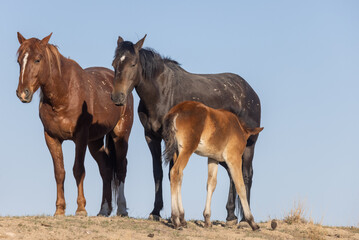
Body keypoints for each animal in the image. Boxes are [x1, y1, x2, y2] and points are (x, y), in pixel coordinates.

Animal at [15, 32, 134, 218]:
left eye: (37, 59)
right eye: (19, 60)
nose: (22, 93)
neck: (63, 94)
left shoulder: (80, 137)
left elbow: (78, 169)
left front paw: (81, 209)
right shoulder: (51, 137)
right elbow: (59, 172)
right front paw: (59, 209)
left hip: (120, 135)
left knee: (121, 167)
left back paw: (121, 209)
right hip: (95, 141)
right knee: (106, 168)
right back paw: (104, 209)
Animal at [165, 101, 262, 231]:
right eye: (245, 142)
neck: (238, 128)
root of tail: (177, 110)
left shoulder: (212, 158)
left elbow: (211, 184)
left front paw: (207, 219)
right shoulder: (233, 158)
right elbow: (240, 186)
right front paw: (252, 221)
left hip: (176, 152)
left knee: (178, 177)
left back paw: (182, 218)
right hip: (186, 149)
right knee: (175, 172)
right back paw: (176, 219)